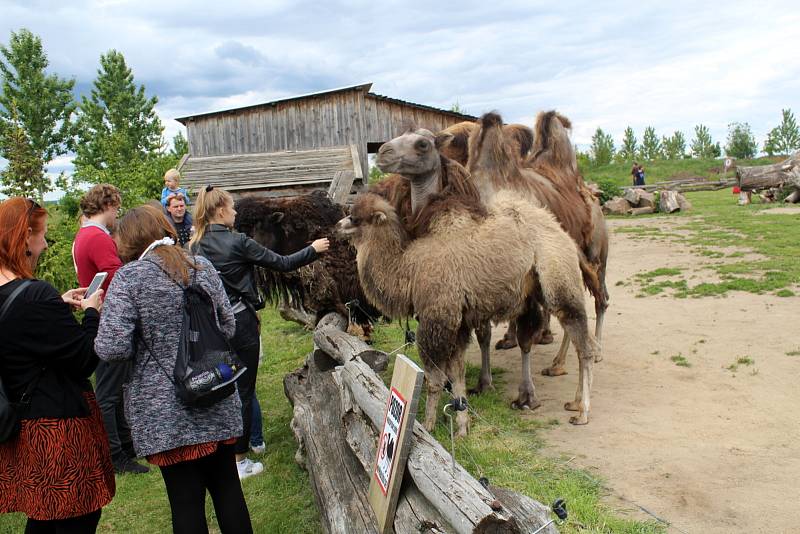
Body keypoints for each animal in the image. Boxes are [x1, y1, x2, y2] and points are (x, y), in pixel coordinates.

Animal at [334, 191, 596, 438]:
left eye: (355, 218)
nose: (337, 226)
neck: (409, 271)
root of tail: (567, 238)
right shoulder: (458, 323)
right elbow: (457, 373)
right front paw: (461, 427)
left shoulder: (437, 319)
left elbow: (435, 378)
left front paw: (428, 426)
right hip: (538, 289)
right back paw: (573, 403)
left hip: (557, 279)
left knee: (583, 344)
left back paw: (582, 412)